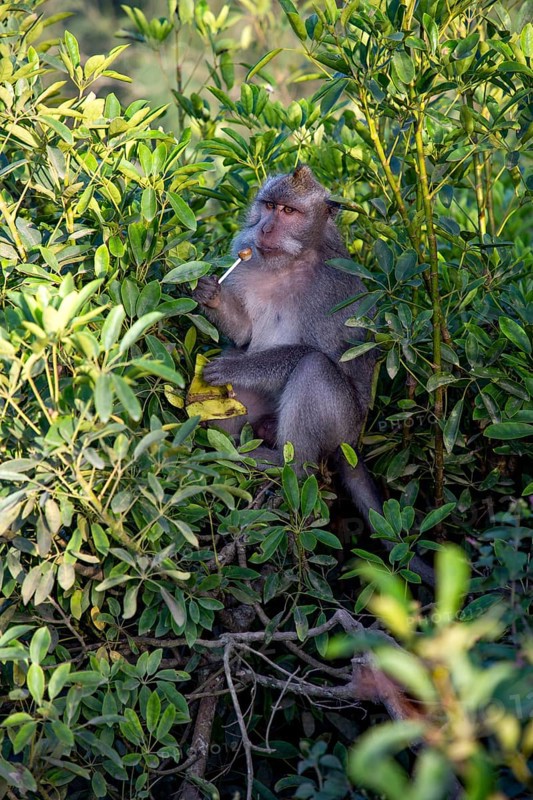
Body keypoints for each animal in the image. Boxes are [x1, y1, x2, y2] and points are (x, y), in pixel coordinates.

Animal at [192, 164, 383, 521]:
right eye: (269, 206)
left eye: (289, 211)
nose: (265, 228)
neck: (291, 262)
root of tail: (354, 444)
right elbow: (244, 334)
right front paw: (210, 294)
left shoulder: (331, 288)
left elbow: (320, 353)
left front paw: (234, 367)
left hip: (343, 428)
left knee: (314, 369)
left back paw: (287, 465)